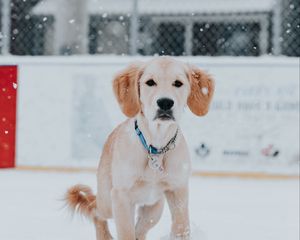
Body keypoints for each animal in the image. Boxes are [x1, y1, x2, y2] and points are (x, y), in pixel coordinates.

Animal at [67, 55, 214, 239]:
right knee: (95, 210)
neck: (156, 146)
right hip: (107, 200)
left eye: (178, 83)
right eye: (150, 82)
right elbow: (126, 233)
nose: (165, 103)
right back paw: (104, 235)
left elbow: (181, 226)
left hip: (154, 208)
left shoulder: (178, 189)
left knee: (140, 229)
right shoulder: (121, 196)